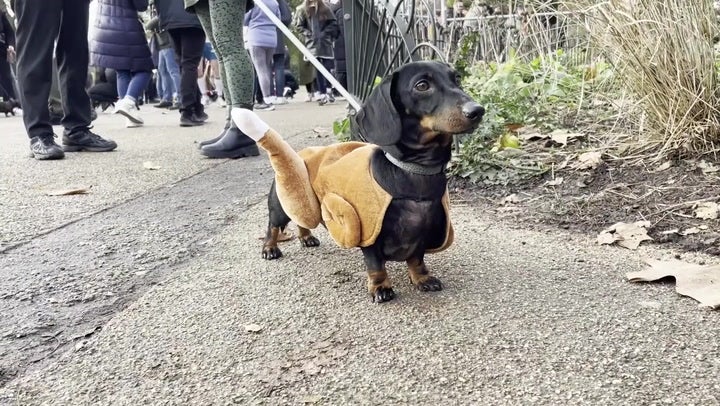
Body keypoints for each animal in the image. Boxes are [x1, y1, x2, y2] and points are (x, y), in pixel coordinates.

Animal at [233, 59, 486, 302]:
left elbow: (417, 260)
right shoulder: (368, 235)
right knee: (273, 226)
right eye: (422, 85)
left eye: (457, 78)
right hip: (282, 203)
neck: (415, 173)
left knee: (302, 220)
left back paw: (306, 238)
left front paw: (422, 279)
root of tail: (298, 153)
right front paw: (381, 288)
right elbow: (376, 266)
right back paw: (270, 248)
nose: (478, 111)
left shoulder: (420, 237)